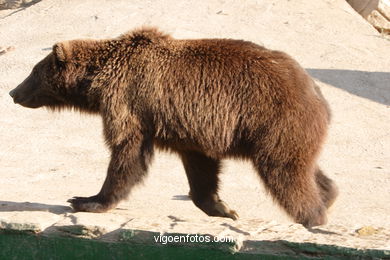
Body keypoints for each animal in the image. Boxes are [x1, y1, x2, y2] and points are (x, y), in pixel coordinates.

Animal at [9, 26, 338, 228]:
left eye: (33, 71)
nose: (13, 92)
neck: (98, 81)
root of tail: (316, 91)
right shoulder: (191, 128)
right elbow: (201, 169)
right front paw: (223, 208)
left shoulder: (131, 101)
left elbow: (127, 153)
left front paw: (87, 200)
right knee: (304, 166)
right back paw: (329, 194)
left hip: (274, 120)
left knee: (284, 172)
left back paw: (313, 218)